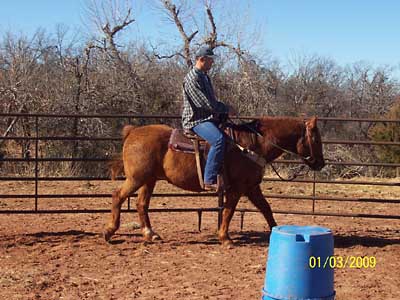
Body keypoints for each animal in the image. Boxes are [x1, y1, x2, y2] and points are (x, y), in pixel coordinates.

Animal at [104, 116, 324, 245]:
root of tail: (133, 132)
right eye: (315, 139)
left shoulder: (252, 187)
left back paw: (150, 234)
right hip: (137, 178)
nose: (320, 163)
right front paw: (225, 238)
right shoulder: (238, 188)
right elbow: (228, 211)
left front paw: (276, 232)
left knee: (141, 204)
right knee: (117, 196)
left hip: (149, 180)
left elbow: (266, 209)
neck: (252, 145)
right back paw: (109, 232)